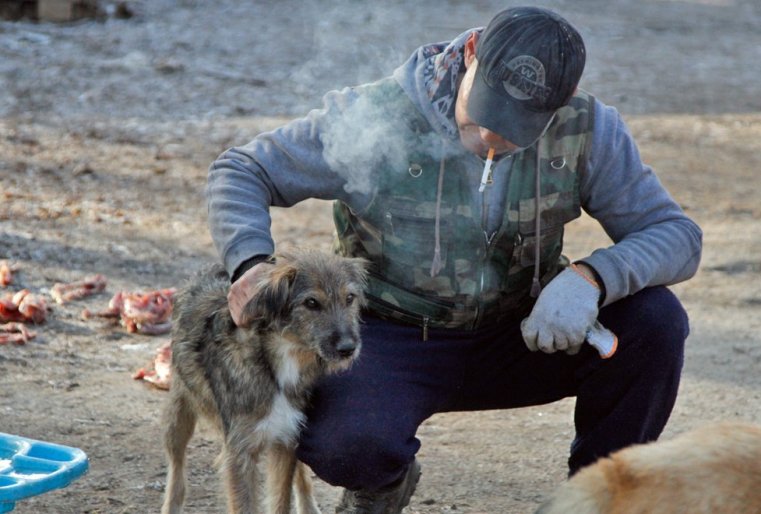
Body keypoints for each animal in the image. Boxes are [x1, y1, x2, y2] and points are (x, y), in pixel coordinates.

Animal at [159, 251, 366, 512]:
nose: (348, 349)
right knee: (176, 471)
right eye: (311, 303)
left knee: (302, 476)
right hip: (178, 415)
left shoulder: (287, 439)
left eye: (349, 298)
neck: (283, 360)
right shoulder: (240, 453)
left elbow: (281, 500)